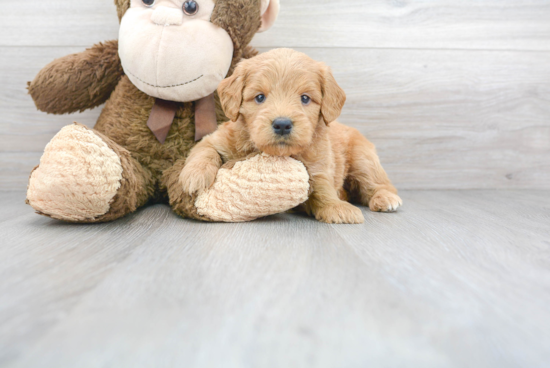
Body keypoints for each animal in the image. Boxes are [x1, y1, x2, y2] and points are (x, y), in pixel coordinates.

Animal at [180, 49, 402, 224]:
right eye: (259, 97)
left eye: (305, 98)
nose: (282, 124)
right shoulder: (216, 139)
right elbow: (205, 151)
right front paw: (195, 176)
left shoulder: (319, 165)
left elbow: (323, 187)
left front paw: (336, 206)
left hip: (363, 158)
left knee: (378, 183)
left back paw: (386, 198)